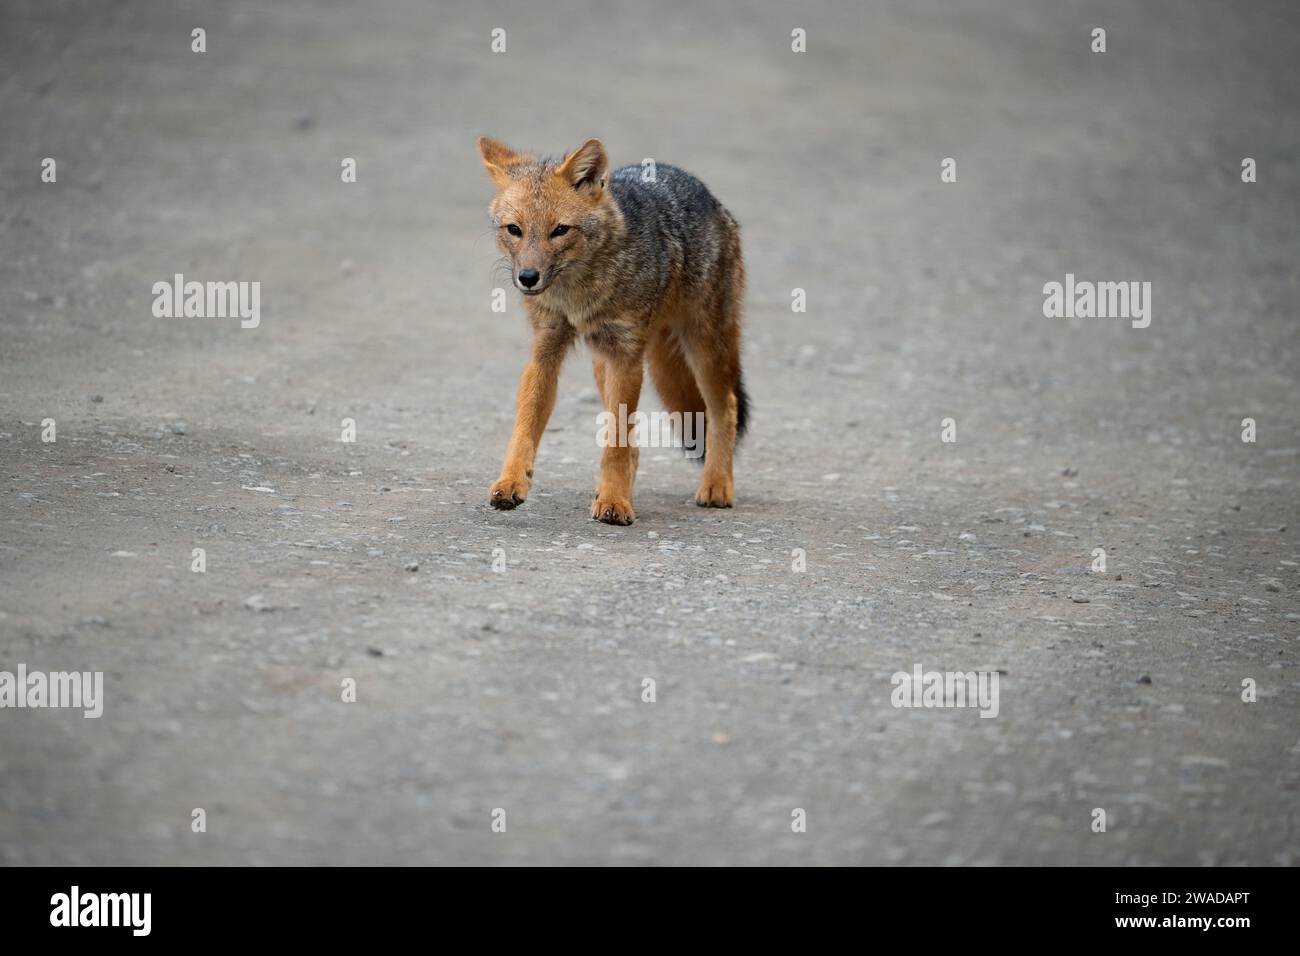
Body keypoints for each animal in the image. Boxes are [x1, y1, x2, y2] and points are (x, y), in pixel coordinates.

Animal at [478, 136, 749, 525]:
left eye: (559, 230)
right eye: (515, 230)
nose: (528, 278)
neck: (578, 293)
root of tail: (706, 193)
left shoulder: (626, 356)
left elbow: (616, 442)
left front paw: (615, 502)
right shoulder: (546, 351)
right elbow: (526, 426)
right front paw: (511, 482)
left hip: (704, 349)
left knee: (725, 407)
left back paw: (716, 486)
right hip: (602, 362)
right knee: (627, 435)